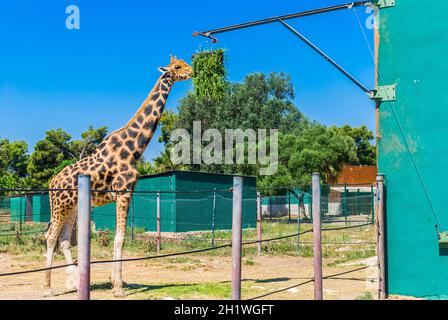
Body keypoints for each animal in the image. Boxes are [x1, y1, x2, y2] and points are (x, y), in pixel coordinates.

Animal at [43, 55, 192, 298]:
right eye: (177, 66)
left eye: (184, 62)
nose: (192, 71)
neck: (134, 148)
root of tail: (51, 184)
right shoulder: (123, 192)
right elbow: (120, 238)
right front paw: (118, 287)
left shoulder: (124, 194)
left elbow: (117, 237)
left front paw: (116, 283)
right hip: (59, 206)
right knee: (50, 237)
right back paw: (47, 287)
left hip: (72, 207)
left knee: (64, 240)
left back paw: (73, 284)